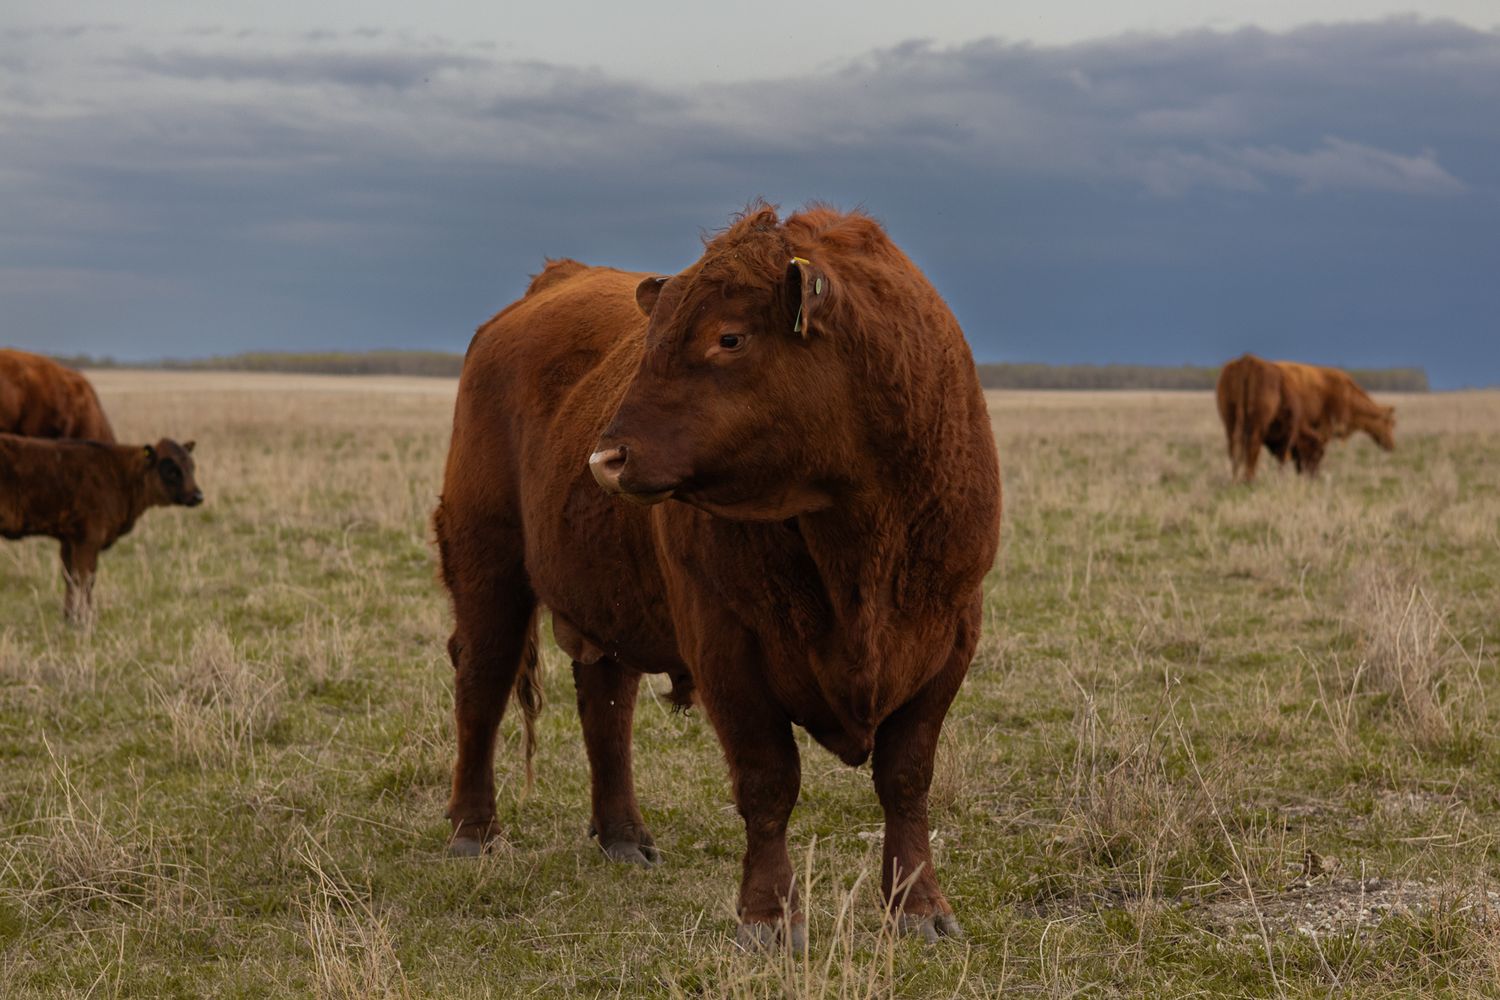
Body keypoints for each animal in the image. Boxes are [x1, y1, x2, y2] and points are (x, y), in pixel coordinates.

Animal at [0, 435, 203, 620]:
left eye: (192, 466)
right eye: (171, 470)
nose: (198, 496)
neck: (120, 475)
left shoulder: (68, 539)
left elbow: (70, 577)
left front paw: (70, 617)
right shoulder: (89, 538)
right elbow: (86, 578)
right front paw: (86, 618)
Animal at [435, 204, 1002, 951]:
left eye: (728, 337)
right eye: (652, 341)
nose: (607, 459)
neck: (857, 530)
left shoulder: (948, 640)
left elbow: (906, 778)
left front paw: (918, 907)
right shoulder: (728, 648)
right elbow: (768, 782)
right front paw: (768, 917)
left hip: (606, 599)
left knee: (606, 706)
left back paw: (623, 834)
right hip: (487, 566)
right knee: (483, 683)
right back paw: (474, 830)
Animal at [1215, 354, 1393, 481]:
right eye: (1391, 423)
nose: (1391, 446)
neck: (1346, 394)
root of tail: (1247, 361)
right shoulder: (1319, 429)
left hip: (1229, 421)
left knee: (1234, 447)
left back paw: (1235, 478)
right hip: (1256, 425)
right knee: (1252, 446)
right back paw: (1248, 479)